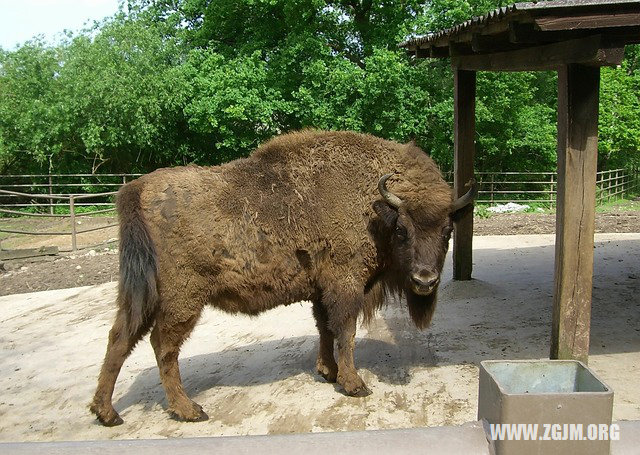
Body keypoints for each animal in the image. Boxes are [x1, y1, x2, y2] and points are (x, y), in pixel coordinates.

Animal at [92, 130, 478, 426]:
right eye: (402, 231)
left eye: (447, 231)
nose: (425, 281)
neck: (374, 206)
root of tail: (137, 189)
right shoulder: (345, 285)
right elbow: (346, 332)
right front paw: (354, 384)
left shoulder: (321, 291)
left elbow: (326, 329)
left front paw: (327, 371)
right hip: (182, 299)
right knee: (163, 346)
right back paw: (189, 410)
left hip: (142, 294)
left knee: (119, 338)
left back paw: (106, 413)